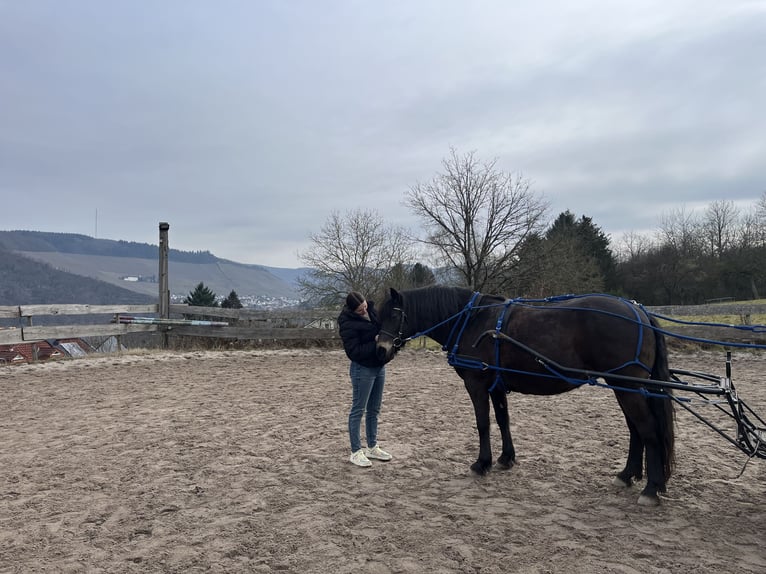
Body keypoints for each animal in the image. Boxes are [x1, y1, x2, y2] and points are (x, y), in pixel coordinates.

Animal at [378, 286, 680, 506]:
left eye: (393, 314)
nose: (381, 349)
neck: (472, 321)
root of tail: (638, 311)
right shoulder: (496, 386)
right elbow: (503, 420)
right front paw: (505, 458)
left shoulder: (477, 384)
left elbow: (483, 424)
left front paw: (482, 463)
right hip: (626, 387)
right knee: (635, 429)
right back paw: (628, 475)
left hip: (626, 386)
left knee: (647, 430)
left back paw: (651, 489)